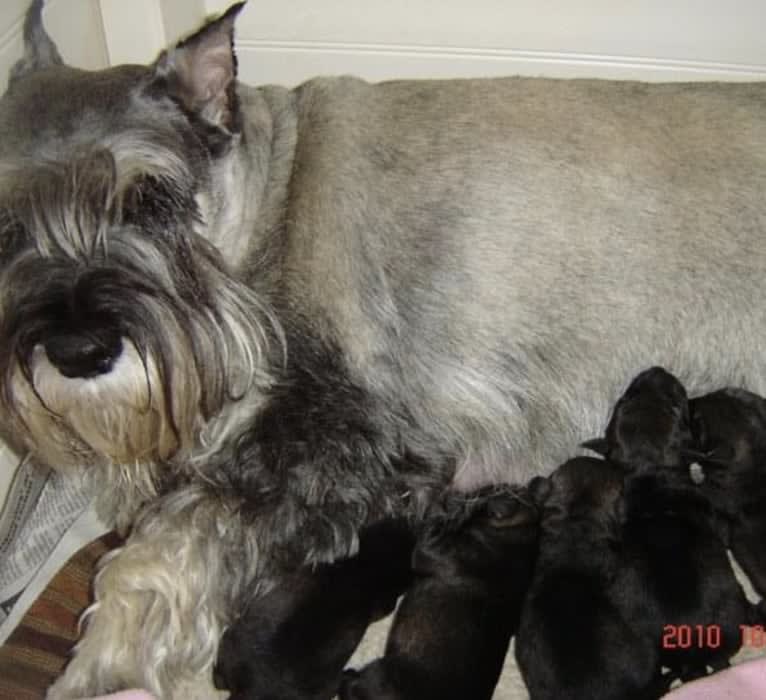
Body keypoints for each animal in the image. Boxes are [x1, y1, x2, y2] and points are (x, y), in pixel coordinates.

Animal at [340, 486, 544, 700]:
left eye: (481, 496)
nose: (457, 494)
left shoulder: (434, 549)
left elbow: (435, 526)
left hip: (380, 675)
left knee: (353, 686)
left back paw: (347, 676)